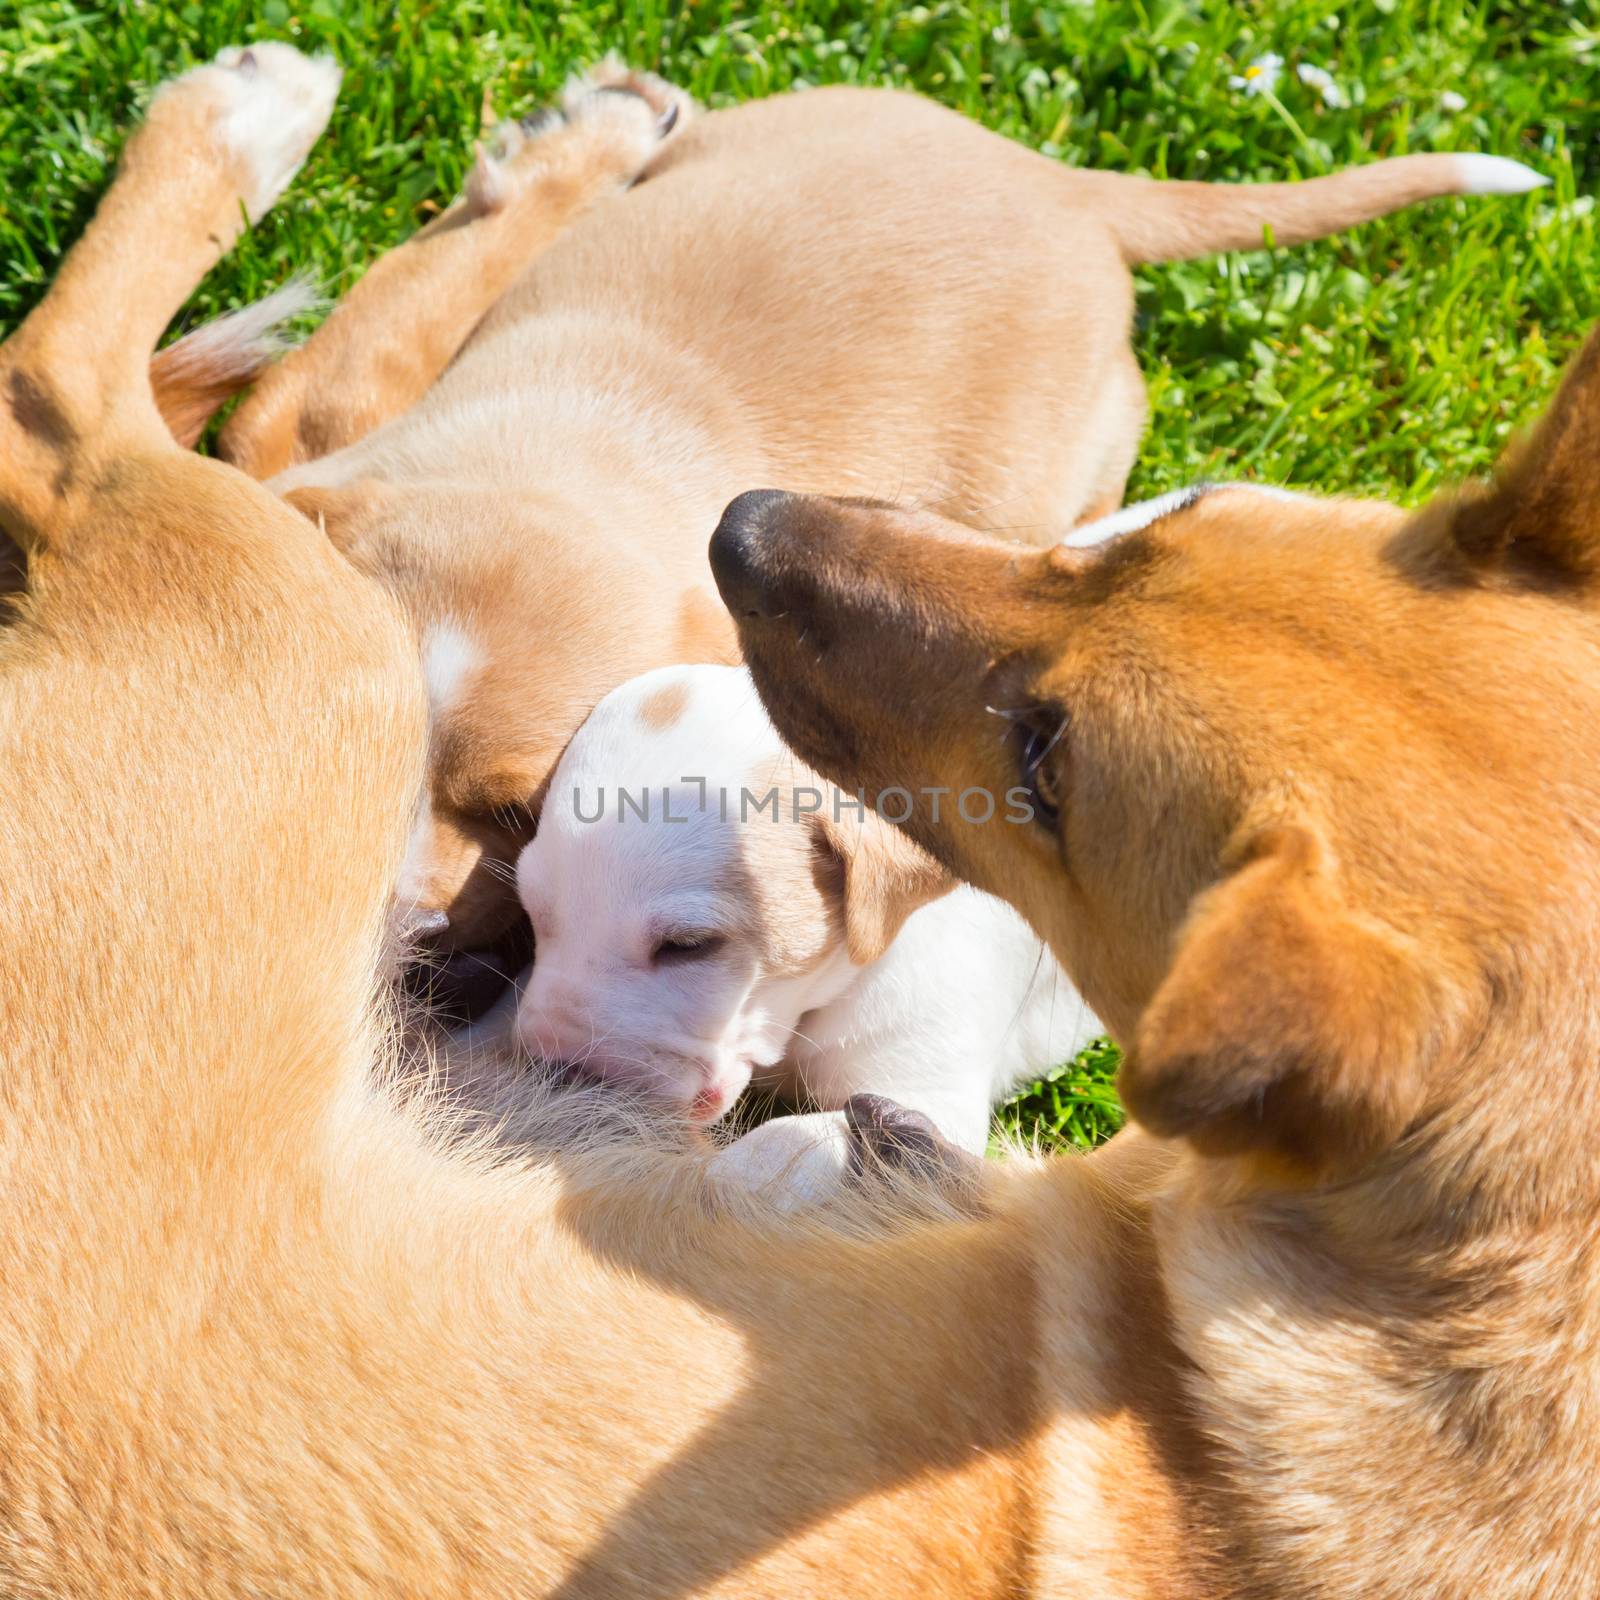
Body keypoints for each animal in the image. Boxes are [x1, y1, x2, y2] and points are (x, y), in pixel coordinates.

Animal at [203, 59, 1536, 947]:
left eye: (515, 810)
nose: (375, 957)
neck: (571, 453)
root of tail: (1069, 188)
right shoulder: (295, 435)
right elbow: (375, 325)